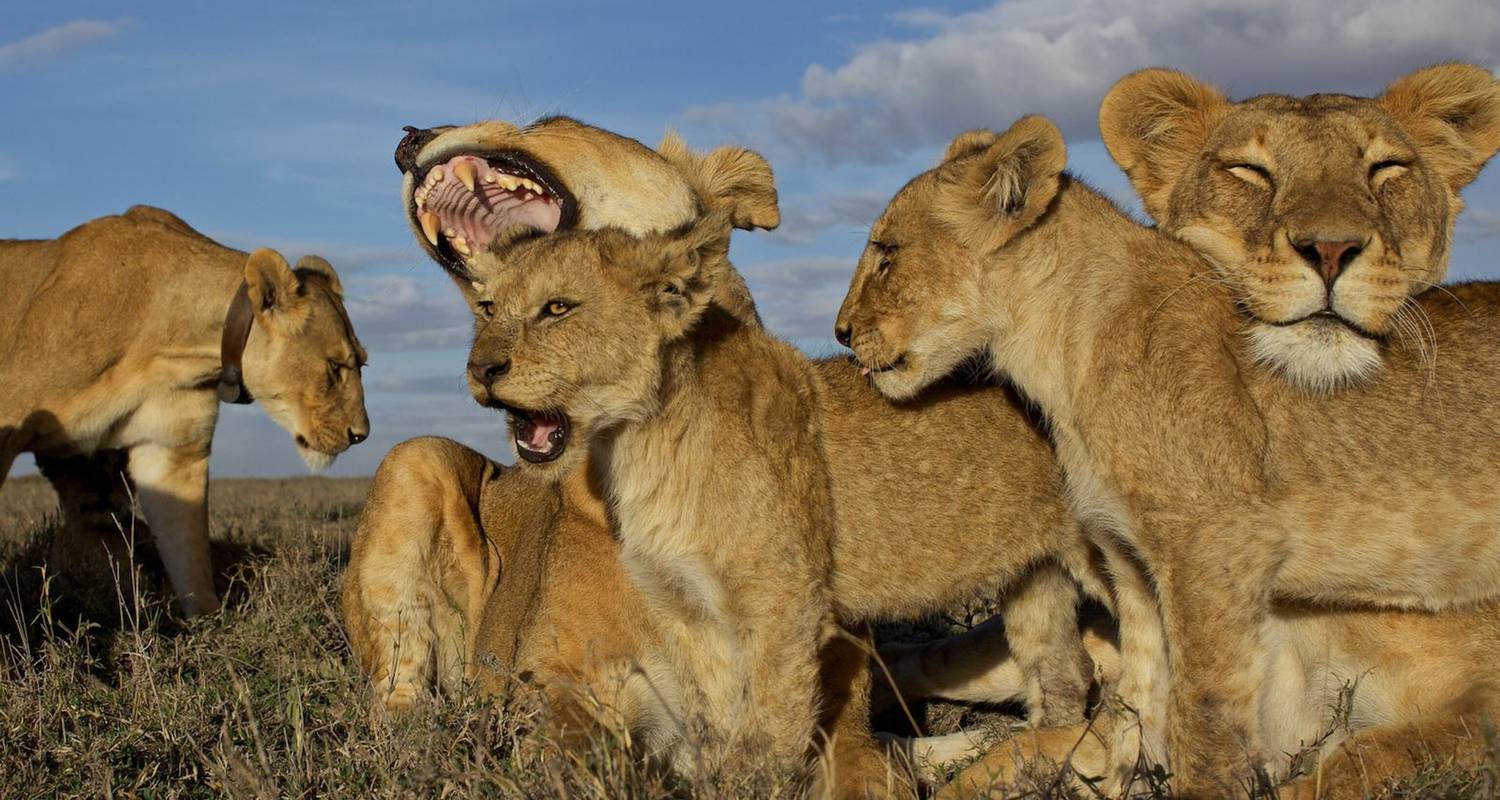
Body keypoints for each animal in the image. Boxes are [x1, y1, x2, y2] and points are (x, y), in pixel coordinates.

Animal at [4, 204, 367, 612]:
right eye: (334, 366)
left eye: (362, 363)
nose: (361, 434)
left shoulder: (172, 451)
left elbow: (188, 553)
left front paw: (208, 621)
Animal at [834, 115, 1500, 792]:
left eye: (887, 253)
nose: (841, 332)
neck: (1060, 349)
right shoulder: (1130, 559)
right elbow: (1140, 707)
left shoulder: (1219, 551)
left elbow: (1208, 718)